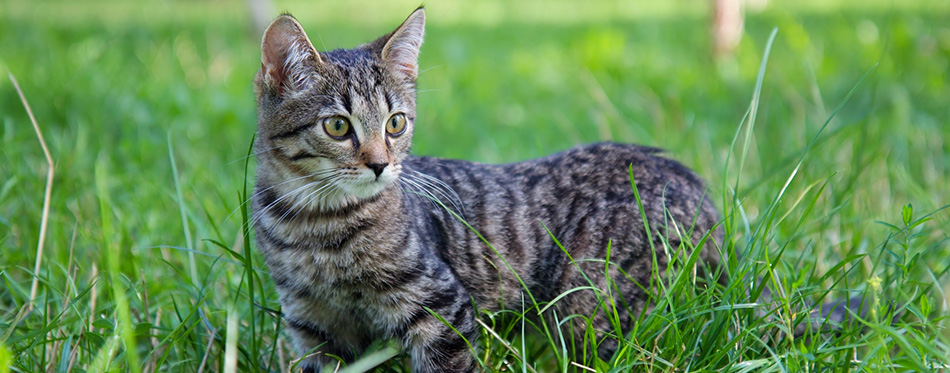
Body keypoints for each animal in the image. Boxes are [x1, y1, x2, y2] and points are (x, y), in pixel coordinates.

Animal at [253, 6, 720, 372]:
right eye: (337, 126)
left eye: (395, 123)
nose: (380, 164)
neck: (317, 225)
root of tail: (691, 182)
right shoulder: (313, 325)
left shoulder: (441, 309)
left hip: (593, 311)